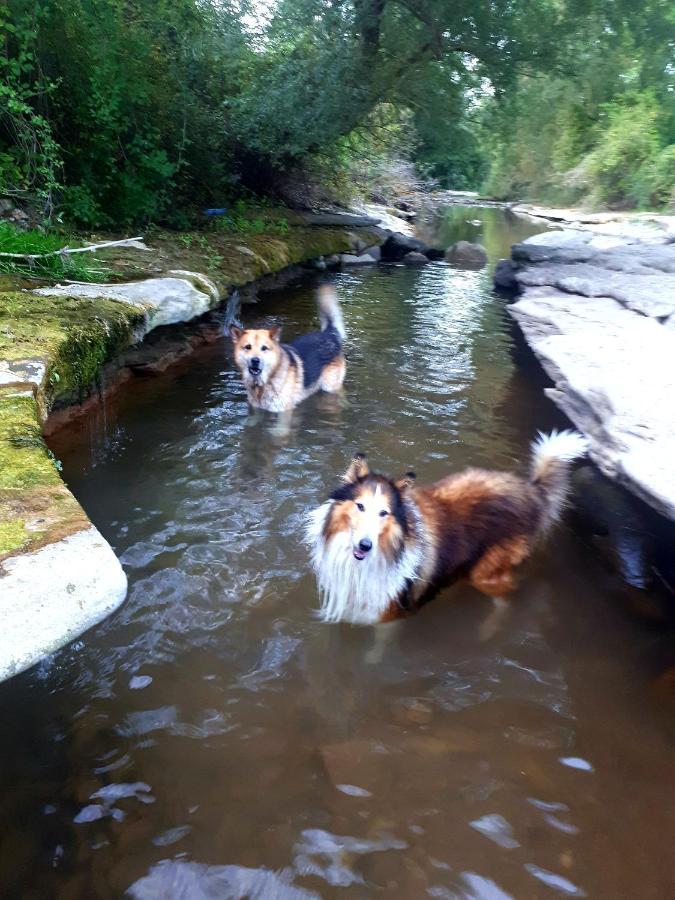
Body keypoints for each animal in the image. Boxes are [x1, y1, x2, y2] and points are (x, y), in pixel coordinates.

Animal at [230, 284, 346, 412]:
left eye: (264, 348)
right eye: (247, 347)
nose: (255, 360)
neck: (263, 384)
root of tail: (329, 333)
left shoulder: (284, 411)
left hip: (329, 387)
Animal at [304, 430, 588, 624]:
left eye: (384, 513)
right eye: (360, 506)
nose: (365, 546)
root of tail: (530, 490)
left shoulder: (390, 614)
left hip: (485, 574)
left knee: (509, 596)